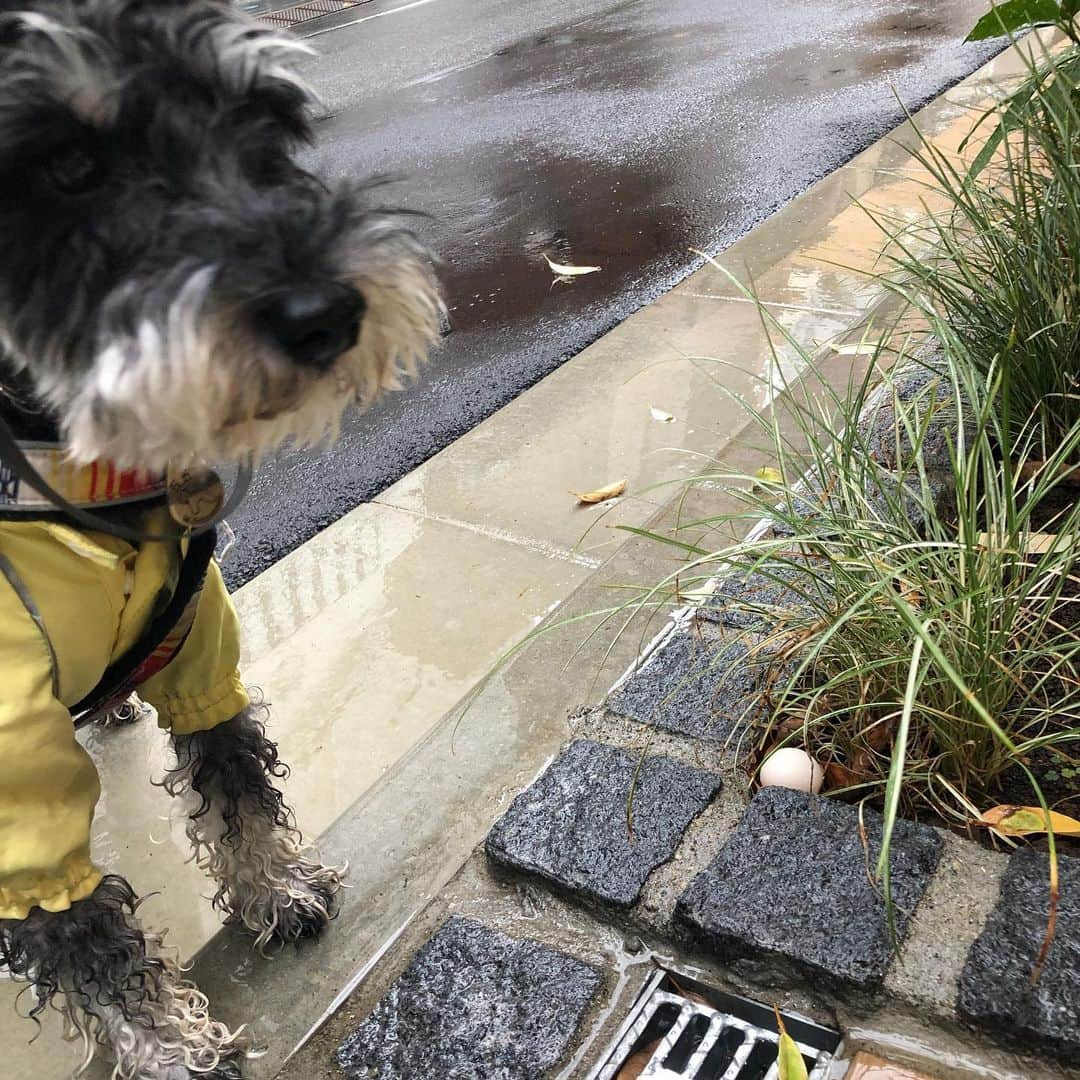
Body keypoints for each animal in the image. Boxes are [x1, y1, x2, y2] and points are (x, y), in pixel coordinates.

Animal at [0, 4, 442, 1075]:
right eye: (68, 165)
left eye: (265, 124)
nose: (327, 315)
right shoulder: (14, 779)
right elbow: (82, 939)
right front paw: (168, 1048)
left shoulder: (197, 638)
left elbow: (234, 776)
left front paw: (274, 890)